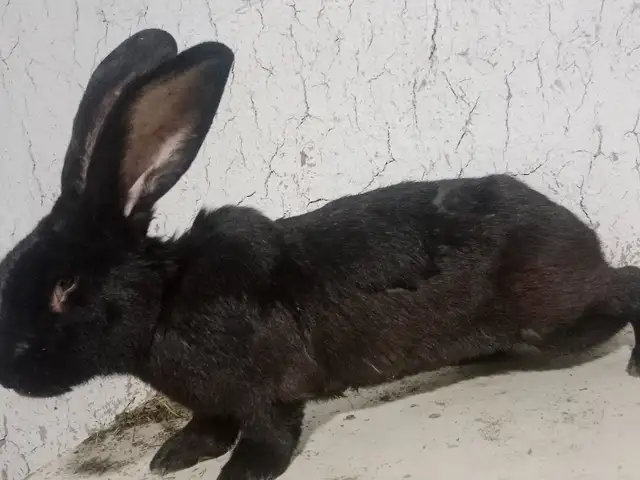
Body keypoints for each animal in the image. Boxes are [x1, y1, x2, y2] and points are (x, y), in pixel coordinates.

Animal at [1, 28, 640, 480]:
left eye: (66, 287)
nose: (9, 372)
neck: (164, 301)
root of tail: (576, 231)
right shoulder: (211, 404)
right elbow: (207, 426)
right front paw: (171, 458)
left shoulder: (271, 389)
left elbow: (268, 431)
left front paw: (241, 474)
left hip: (556, 314)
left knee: (624, 286)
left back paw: (633, 360)